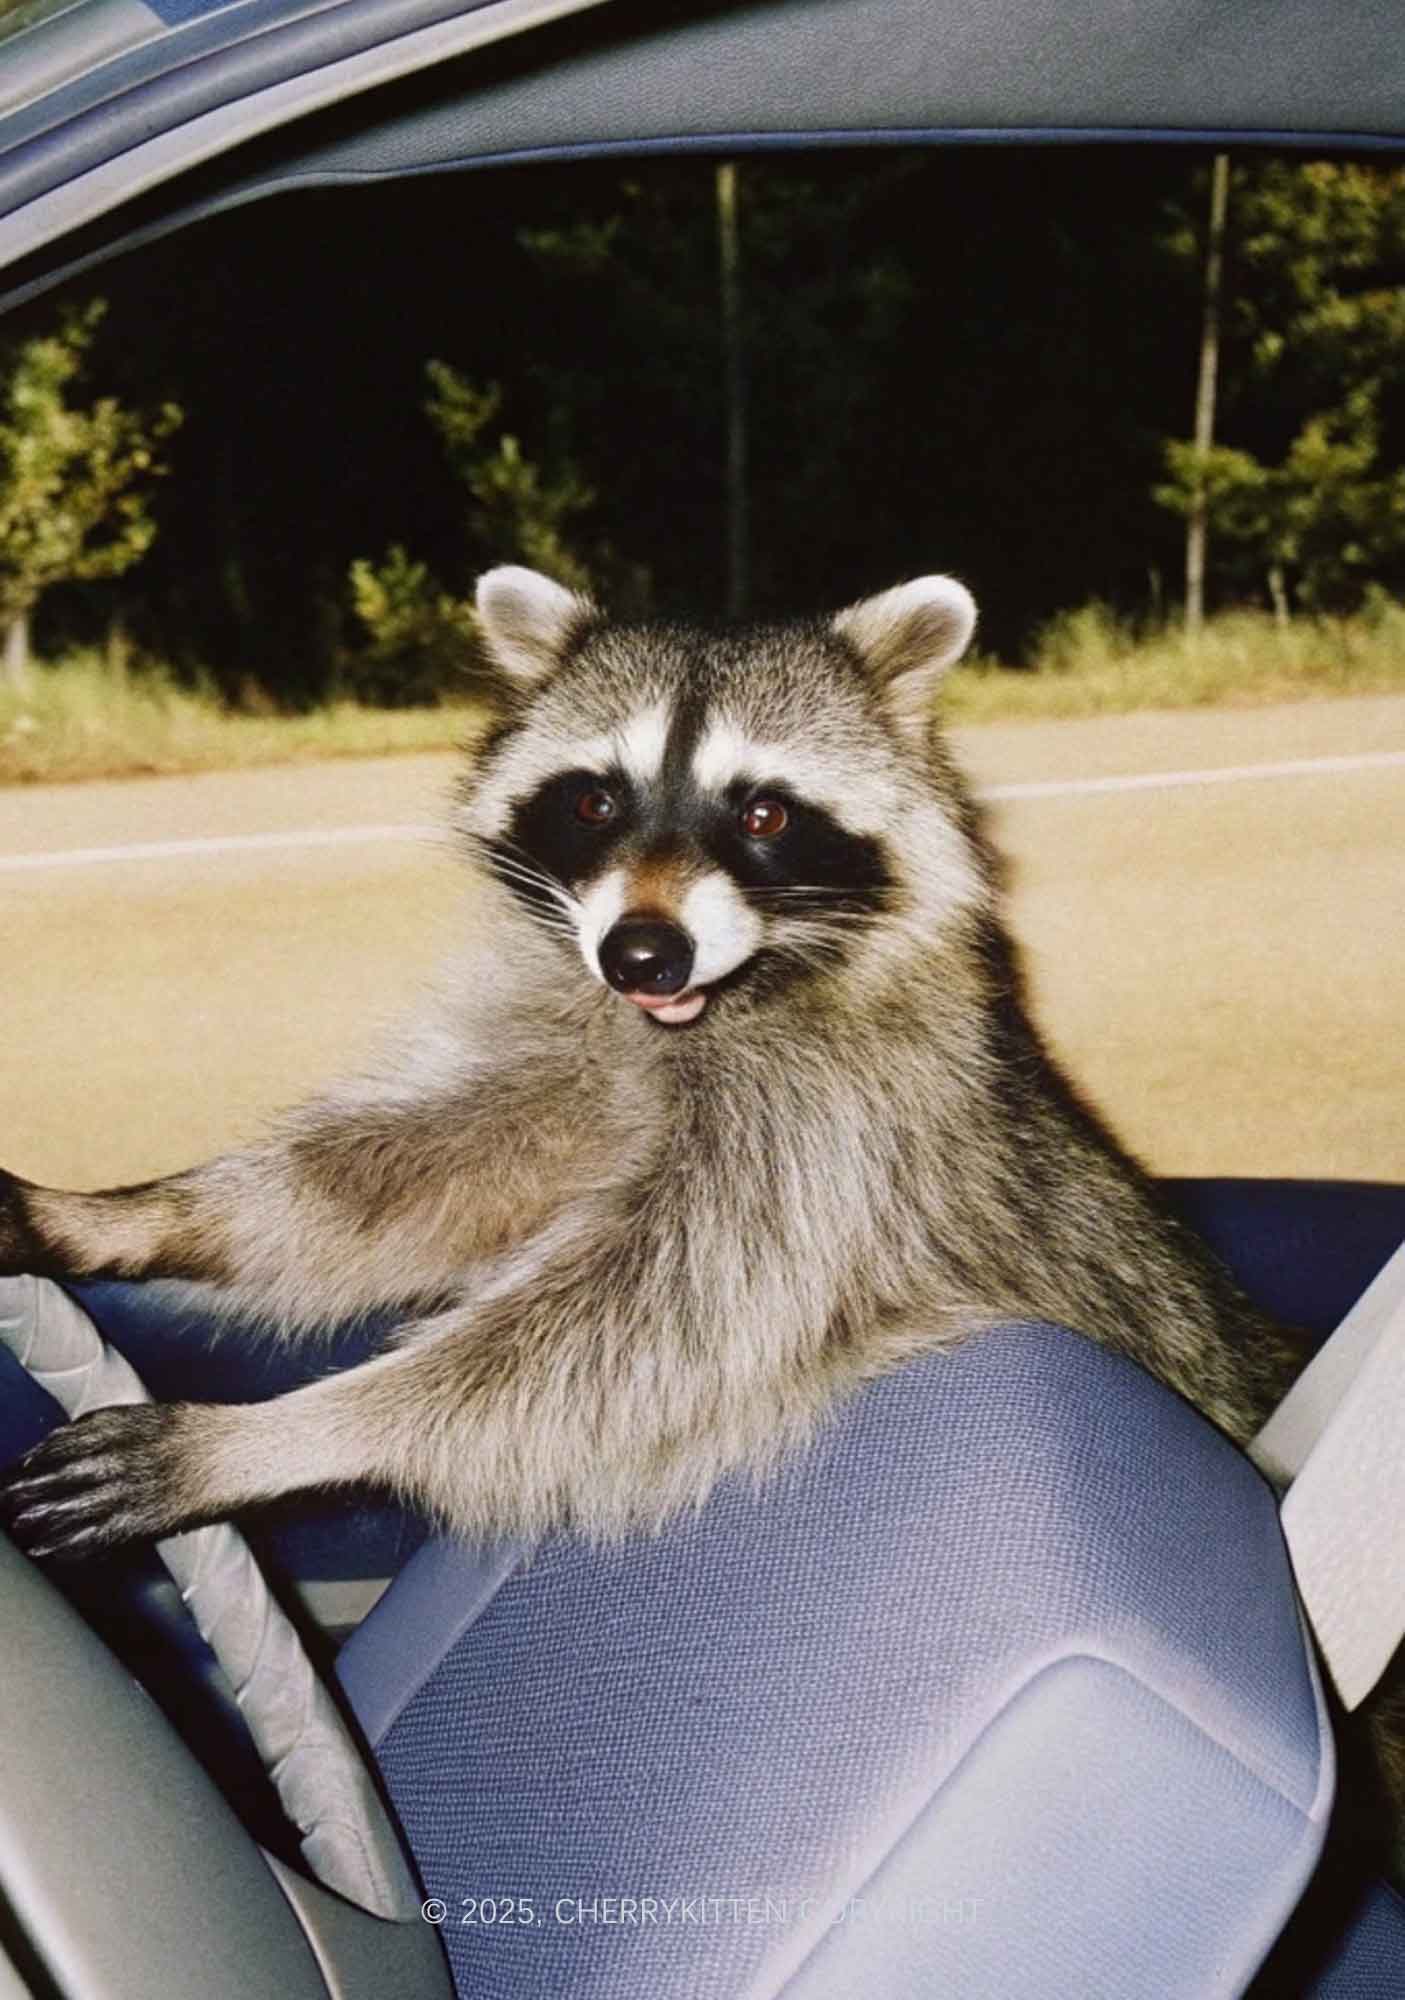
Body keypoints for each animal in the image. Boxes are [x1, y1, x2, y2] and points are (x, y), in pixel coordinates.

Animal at [0, 563, 1303, 1562]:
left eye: (764, 813)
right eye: (593, 799)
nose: (640, 951)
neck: (701, 1013)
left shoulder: (846, 1135)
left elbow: (642, 1330)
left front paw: (286, 1431)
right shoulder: (582, 1041)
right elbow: (430, 1166)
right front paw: (134, 1213)